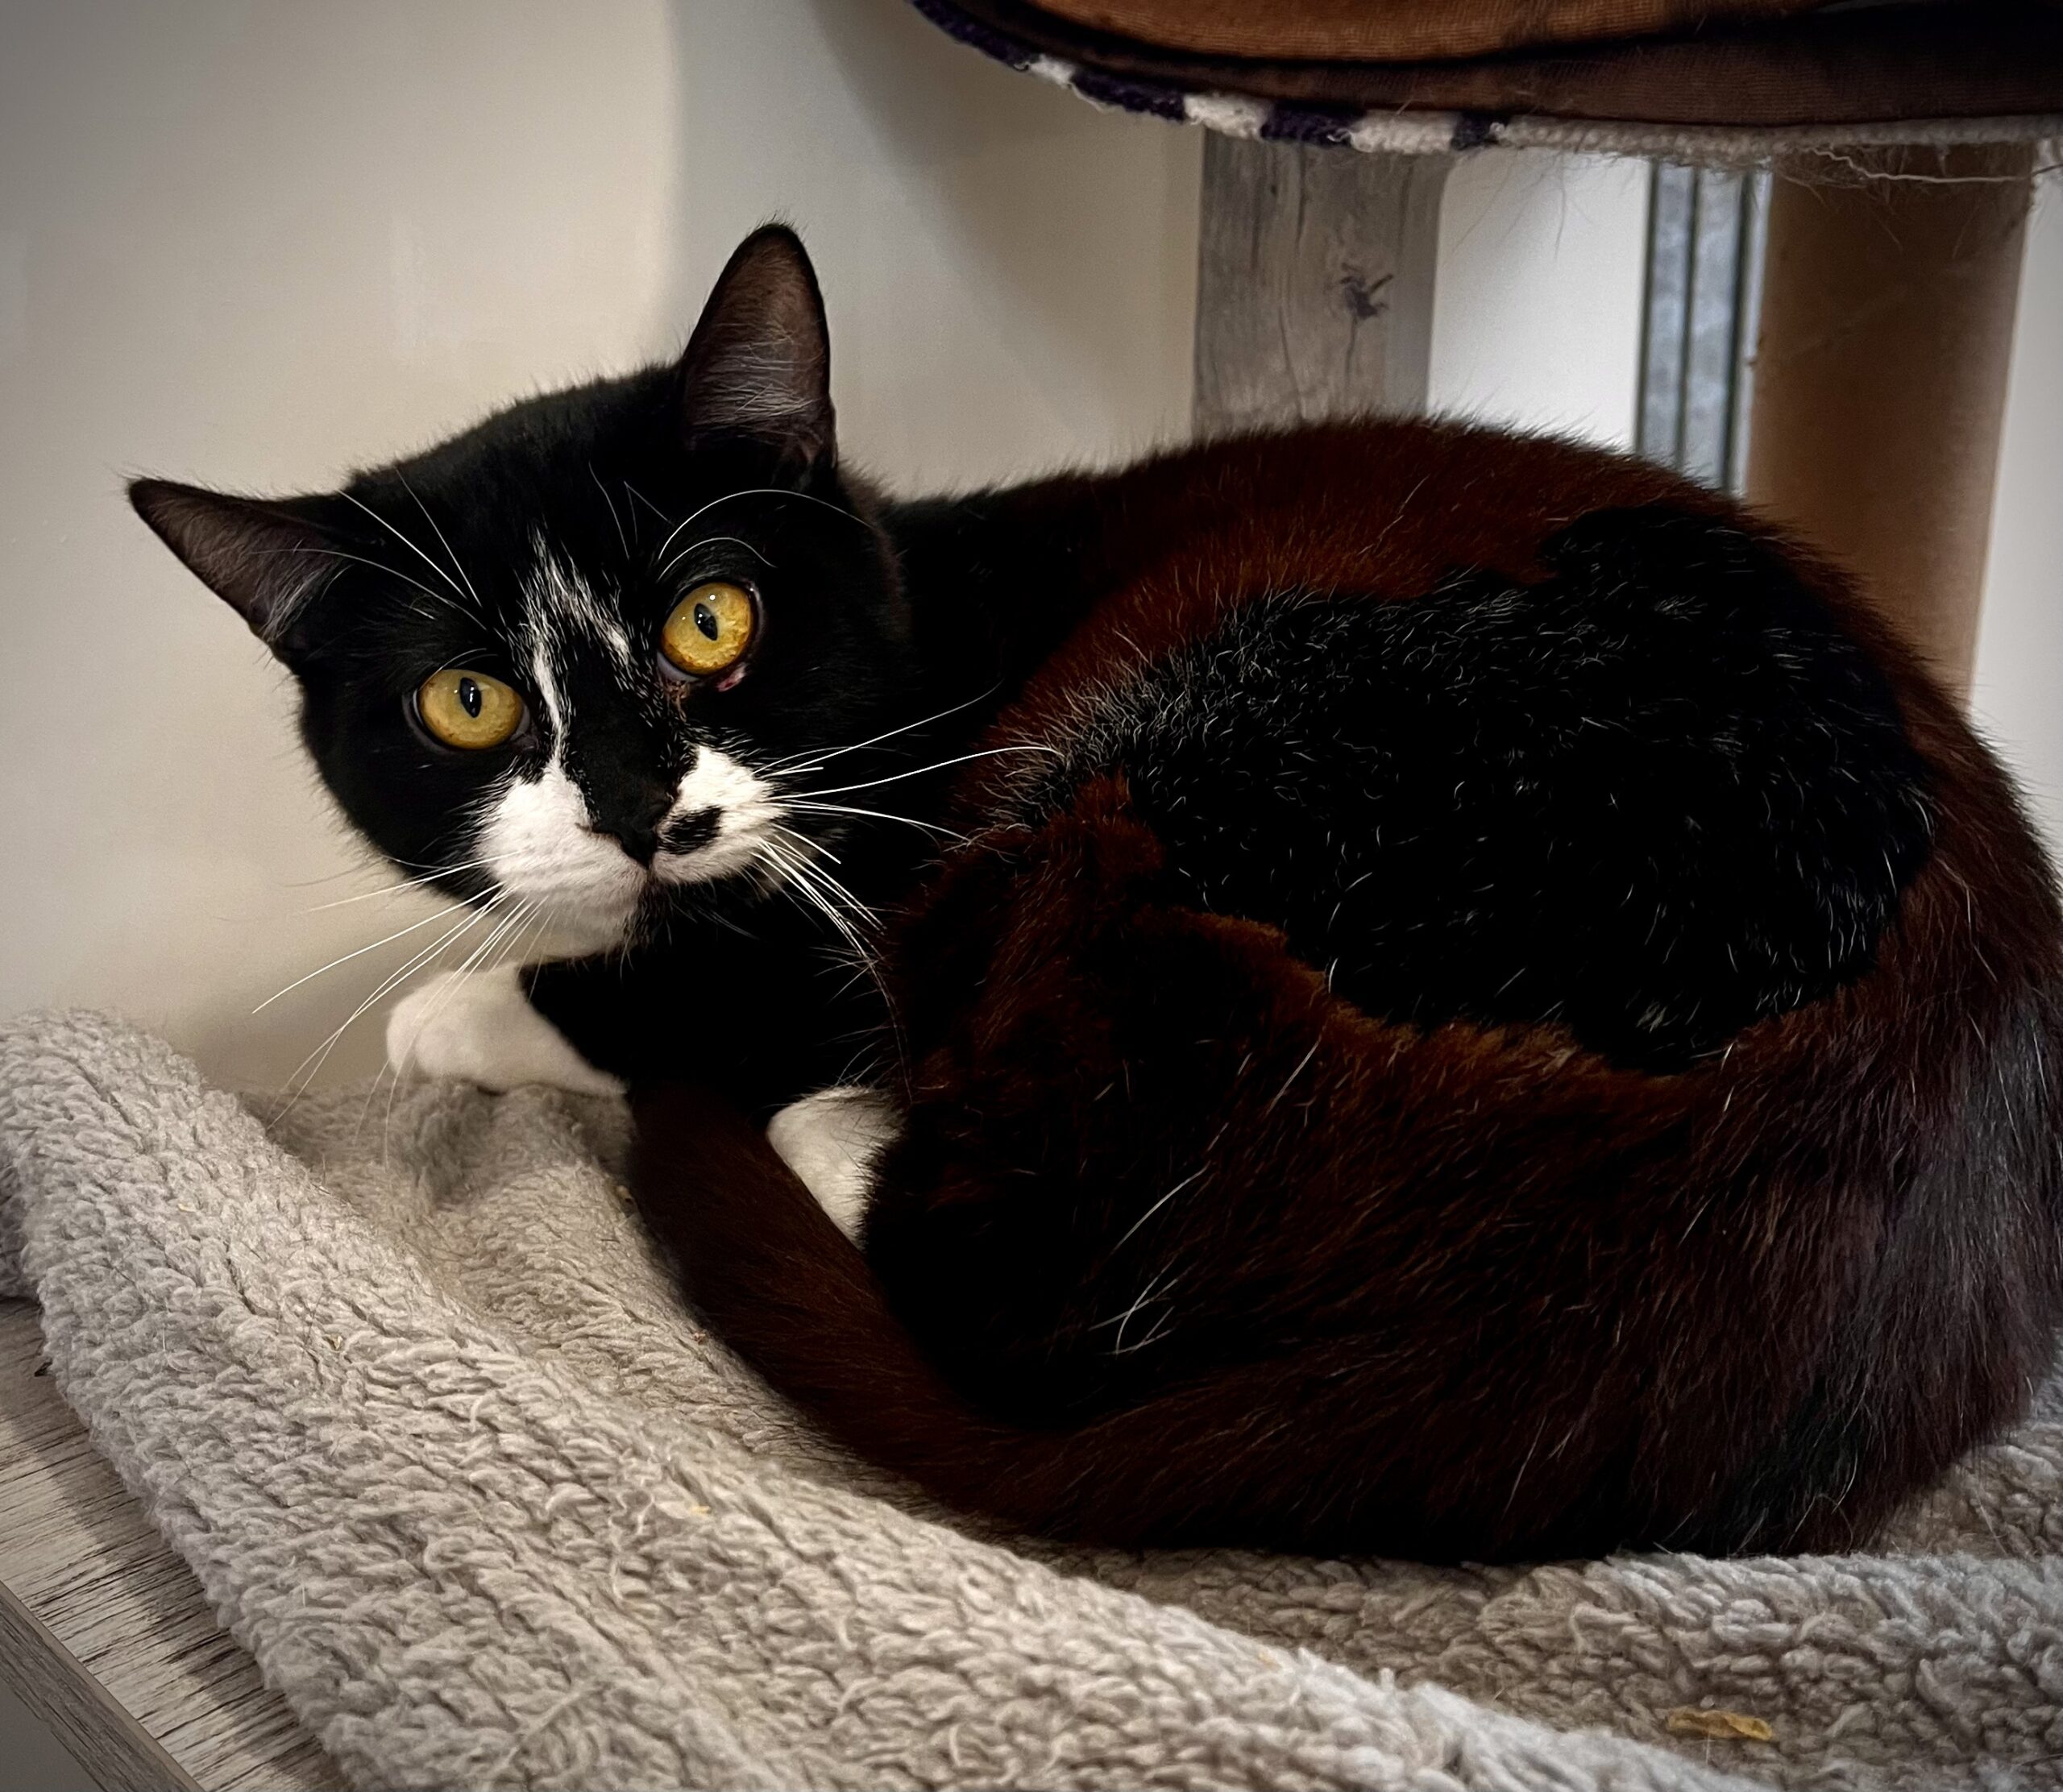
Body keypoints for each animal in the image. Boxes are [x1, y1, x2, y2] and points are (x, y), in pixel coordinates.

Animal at [134, 225, 2063, 1561]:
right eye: (465, 700)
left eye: (712, 616)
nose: (632, 805)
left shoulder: (851, 890)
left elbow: (684, 990)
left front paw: (456, 1009)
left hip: (1163, 786)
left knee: (984, 1254)